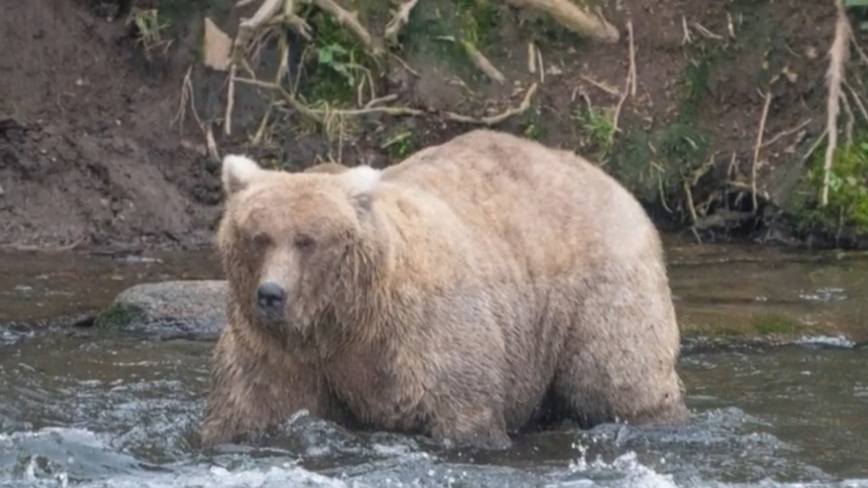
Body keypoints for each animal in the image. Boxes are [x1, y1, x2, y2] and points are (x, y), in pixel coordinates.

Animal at [200, 129, 688, 450]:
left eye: (307, 241)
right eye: (258, 236)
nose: (271, 294)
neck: (343, 320)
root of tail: (613, 183)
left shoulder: (421, 337)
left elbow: (462, 410)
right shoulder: (277, 351)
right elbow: (251, 406)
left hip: (598, 292)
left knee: (618, 378)